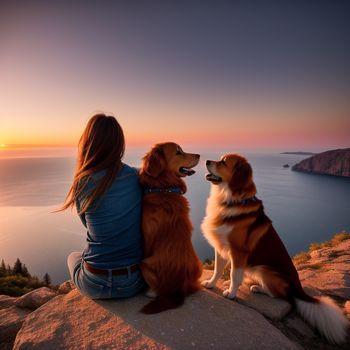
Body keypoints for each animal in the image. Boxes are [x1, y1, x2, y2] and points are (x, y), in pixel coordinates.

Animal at [138, 142, 201, 314]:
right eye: (178, 152)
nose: (199, 155)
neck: (164, 188)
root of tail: (179, 288)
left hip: (143, 263)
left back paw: (149, 292)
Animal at [201, 154, 348, 344]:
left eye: (224, 162)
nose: (206, 161)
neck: (229, 198)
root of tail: (298, 287)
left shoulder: (238, 252)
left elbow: (234, 275)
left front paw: (231, 294)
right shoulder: (221, 248)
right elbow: (217, 270)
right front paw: (211, 284)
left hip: (265, 270)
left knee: (282, 295)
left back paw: (258, 288)